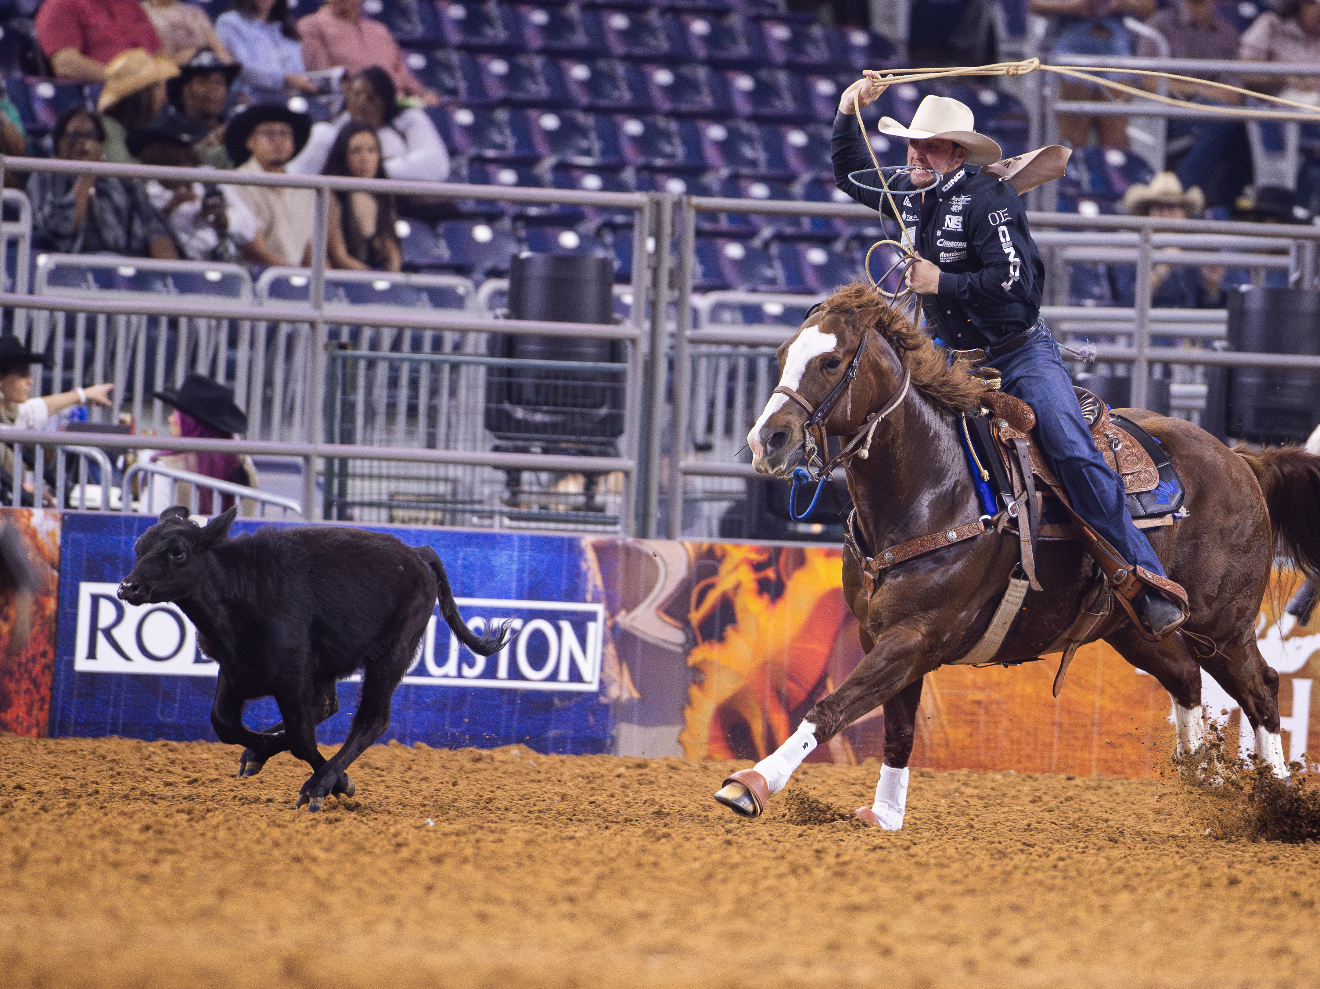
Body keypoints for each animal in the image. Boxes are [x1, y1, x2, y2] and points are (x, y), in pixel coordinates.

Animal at [714, 282, 1320, 829]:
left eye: (831, 360)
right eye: (781, 355)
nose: (767, 440)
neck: (935, 486)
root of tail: (1243, 461)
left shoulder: (915, 636)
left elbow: (832, 708)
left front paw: (752, 783)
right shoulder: (881, 636)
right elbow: (898, 730)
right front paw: (885, 815)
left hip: (1223, 625)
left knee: (1262, 689)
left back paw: (1279, 800)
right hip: (1135, 628)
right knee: (1188, 680)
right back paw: (1202, 775)